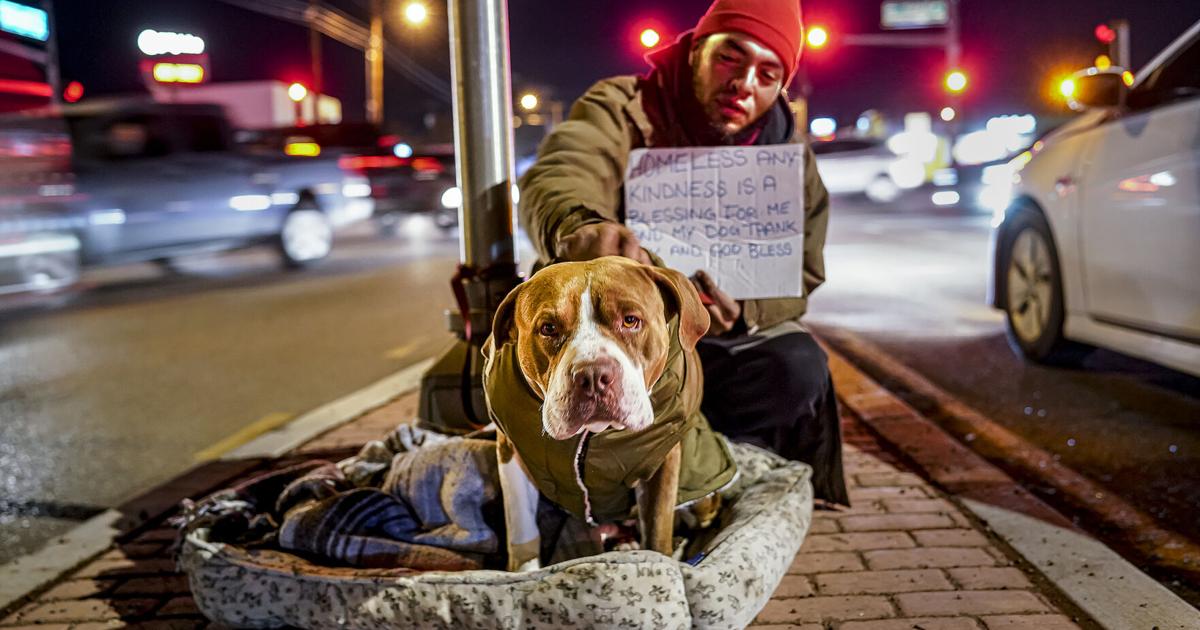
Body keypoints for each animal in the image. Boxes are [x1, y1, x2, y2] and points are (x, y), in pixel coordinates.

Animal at [480, 255, 710, 568]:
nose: (592, 375)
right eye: (548, 328)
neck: (594, 436)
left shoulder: (663, 459)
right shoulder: (510, 451)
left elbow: (657, 529)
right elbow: (522, 529)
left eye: (630, 320)